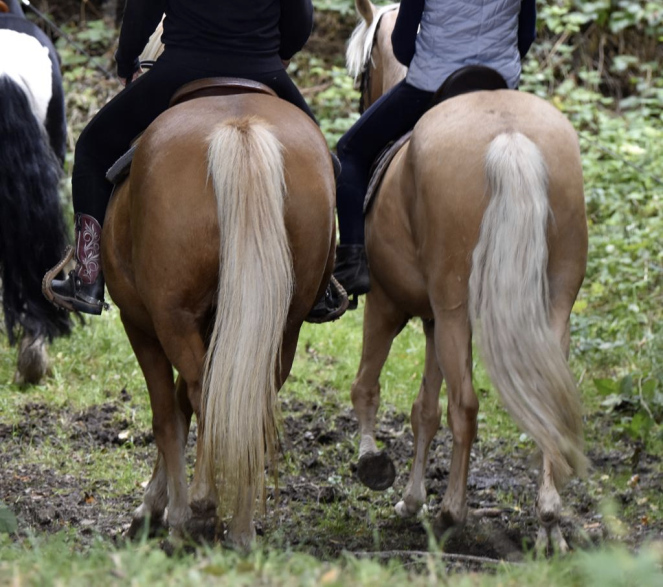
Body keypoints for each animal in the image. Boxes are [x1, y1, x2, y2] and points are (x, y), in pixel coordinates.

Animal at [103, 79, 338, 548]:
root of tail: (239, 127)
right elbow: (189, 405)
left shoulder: (140, 324)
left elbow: (168, 416)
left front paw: (162, 513)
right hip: (283, 325)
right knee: (247, 401)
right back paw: (241, 529)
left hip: (172, 317)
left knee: (203, 395)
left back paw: (199, 511)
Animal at [344, 0, 588, 552]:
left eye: (363, 74)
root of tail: (509, 137)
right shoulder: (433, 320)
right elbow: (423, 410)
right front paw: (411, 499)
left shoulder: (388, 304)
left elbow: (369, 385)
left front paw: (374, 464)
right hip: (551, 306)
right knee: (549, 399)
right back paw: (548, 521)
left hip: (456, 310)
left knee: (466, 406)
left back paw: (452, 513)